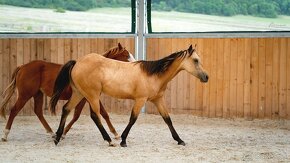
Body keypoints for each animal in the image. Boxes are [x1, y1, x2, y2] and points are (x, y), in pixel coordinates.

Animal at [0, 43, 136, 141]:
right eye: (126, 56)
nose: (135, 65)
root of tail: (22, 67)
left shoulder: (85, 98)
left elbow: (81, 115)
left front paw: (62, 133)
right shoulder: (89, 98)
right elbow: (98, 114)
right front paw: (115, 134)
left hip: (38, 94)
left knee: (38, 112)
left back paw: (51, 133)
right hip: (25, 95)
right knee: (14, 110)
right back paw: (5, 135)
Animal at [50, 44, 208, 146]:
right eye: (195, 60)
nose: (206, 77)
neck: (154, 75)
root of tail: (77, 62)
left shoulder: (158, 100)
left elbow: (167, 119)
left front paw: (179, 140)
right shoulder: (140, 100)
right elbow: (133, 119)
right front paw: (123, 140)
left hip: (79, 93)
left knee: (66, 109)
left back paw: (57, 137)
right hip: (92, 95)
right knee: (95, 115)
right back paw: (109, 140)